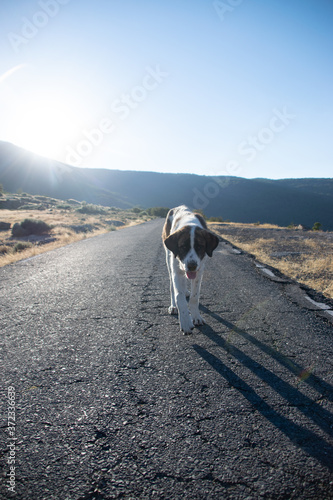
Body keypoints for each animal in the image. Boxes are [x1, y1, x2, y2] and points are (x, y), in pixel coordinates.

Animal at [162, 205, 219, 334]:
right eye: (183, 247)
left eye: (200, 247)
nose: (191, 266)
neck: (189, 223)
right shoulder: (176, 270)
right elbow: (179, 296)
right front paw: (185, 321)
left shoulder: (199, 271)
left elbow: (194, 297)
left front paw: (196, 317)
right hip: (169, 259)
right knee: (172, 286)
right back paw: (173, 306)